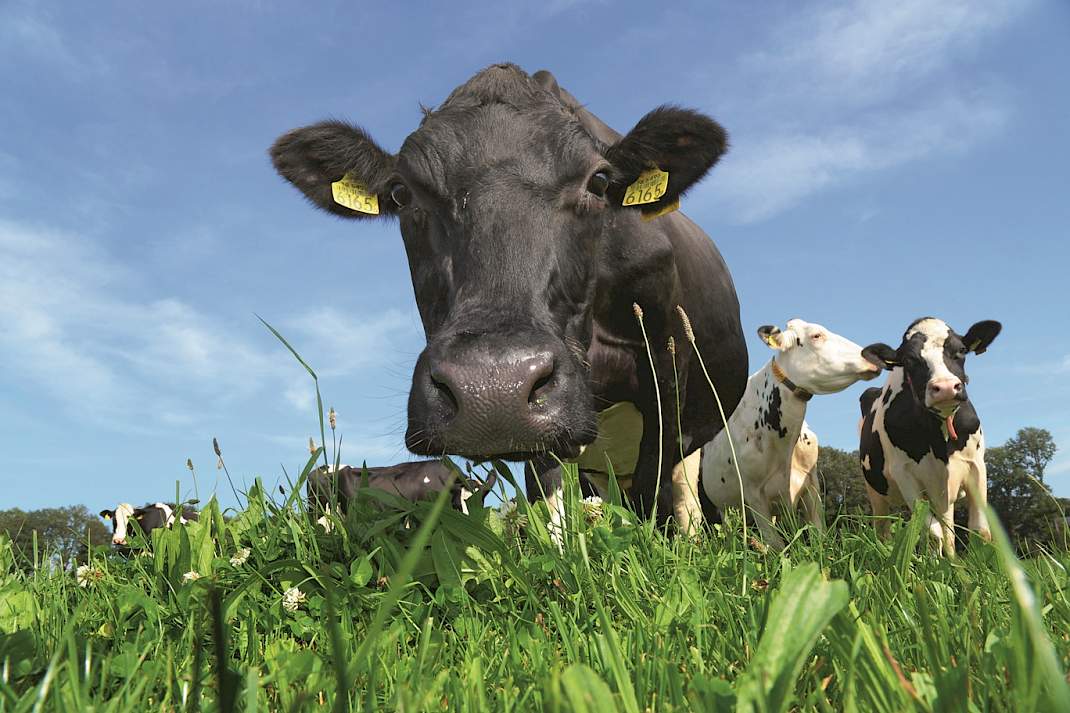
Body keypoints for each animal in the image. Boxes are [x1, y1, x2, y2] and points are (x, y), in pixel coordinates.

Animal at [700, 320, 880, 548]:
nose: (872, 356)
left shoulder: (810, 484)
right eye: (816, 335)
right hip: (722, 507)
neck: (784, 445)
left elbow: (819, 536)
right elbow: (775, 545)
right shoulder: (753, 493)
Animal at [858, 317, 1002, 556]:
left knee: (948, 528)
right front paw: (936, 564)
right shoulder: (904, 473)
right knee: (883, 530)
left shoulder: (976, 465)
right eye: (908, 359)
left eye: (961, 350)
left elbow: (981, 532)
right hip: (876, 492)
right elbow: (932, 534)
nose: (945, 387)